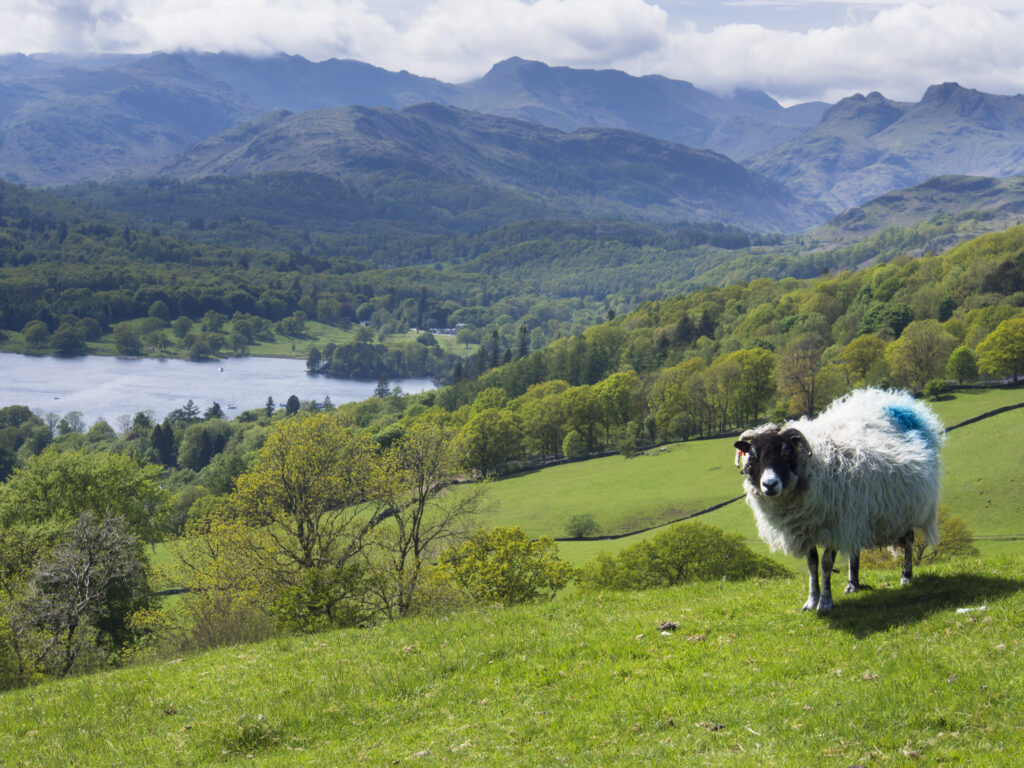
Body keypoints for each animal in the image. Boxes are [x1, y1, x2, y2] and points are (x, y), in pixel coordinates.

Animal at [733, 388, 943, 613]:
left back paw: (906, 576)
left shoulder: (835, 523)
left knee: (910, 541)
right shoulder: (807, 527)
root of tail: (897, 401)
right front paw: (811, 600)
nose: (770, 484)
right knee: (854, 547)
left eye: (786, 451)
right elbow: (812, 564)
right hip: (858, 513)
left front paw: (825, 602)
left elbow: (826, 564)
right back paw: (853, 584)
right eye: (752, 455)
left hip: (906, 508)